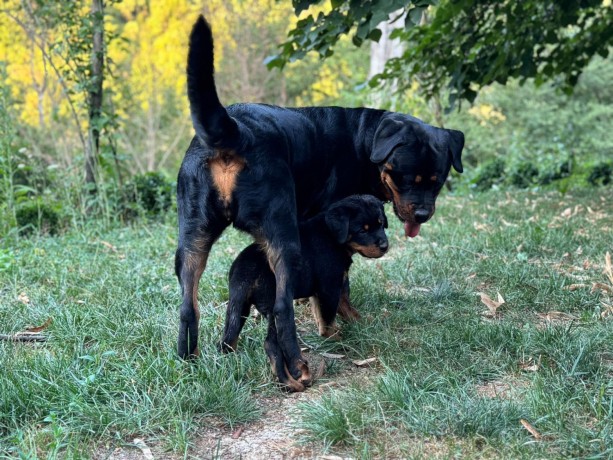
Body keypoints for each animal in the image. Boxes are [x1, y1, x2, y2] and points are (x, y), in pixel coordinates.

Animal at [220, 194, 388, 388]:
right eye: (362, 230)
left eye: (381, 224)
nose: (385, 245)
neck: (332, 235)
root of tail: (246, 270)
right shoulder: (330, 286)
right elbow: (329, 315)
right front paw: (334, 336)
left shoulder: (326, 287)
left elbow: (342, 306)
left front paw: (360, 321)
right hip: (274, 306)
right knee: (271, 344)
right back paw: (292, 381)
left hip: (238, 305)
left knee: (228, 338)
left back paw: (229, 360)